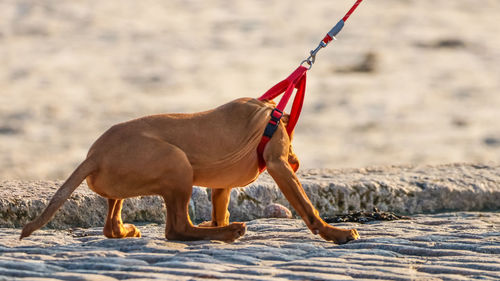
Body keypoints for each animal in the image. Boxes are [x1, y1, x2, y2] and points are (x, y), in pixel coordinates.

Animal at [21, 97, 360, 242]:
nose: (297, 160)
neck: (270, 115)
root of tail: (93, 155)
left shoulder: (222, 185)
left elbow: (220, 207)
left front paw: (216, 222)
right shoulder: (279, 165)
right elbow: (307, 208)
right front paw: (336, 233)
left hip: (124, 183)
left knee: (112, 223)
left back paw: (126, 230)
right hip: (177, 164)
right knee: (177, 229)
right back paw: (228, 233)